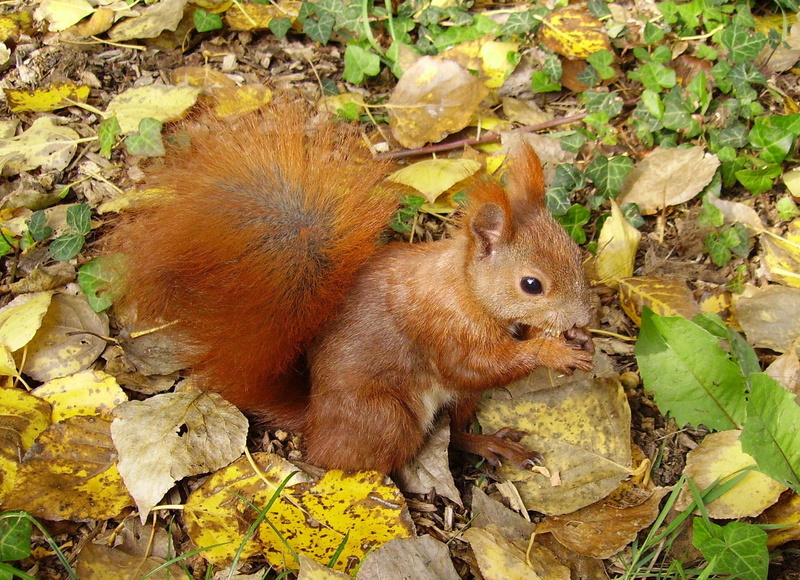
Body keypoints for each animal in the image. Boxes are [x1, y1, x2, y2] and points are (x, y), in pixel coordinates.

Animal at [108, 97, 595, 473]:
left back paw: (490, 443)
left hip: (457, 403)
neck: (464, 289)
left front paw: (571, 336)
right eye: (531, 284)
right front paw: (554, 351)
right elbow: (479, 365)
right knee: (362, 457)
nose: (584, 317)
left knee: (455, 431)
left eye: (577, 254)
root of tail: (315, 419)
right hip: (386, 416)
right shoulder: (445, 331)